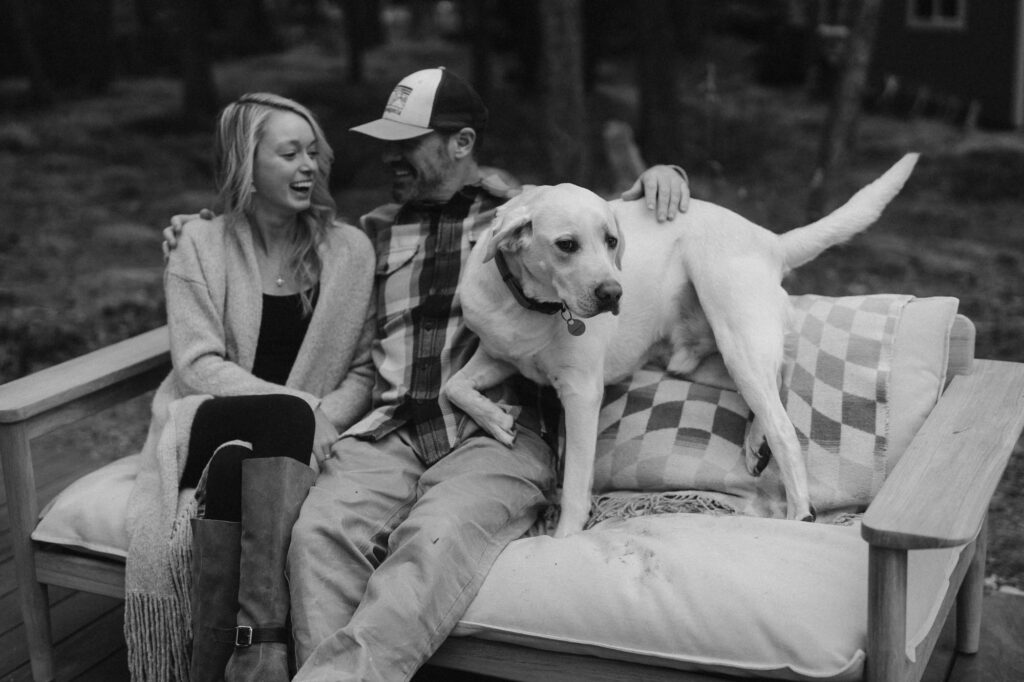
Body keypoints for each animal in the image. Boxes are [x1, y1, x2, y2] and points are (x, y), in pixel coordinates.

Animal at [446, 153, 921, 536]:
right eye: (566, 245)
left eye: (611, 241)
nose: (614, 294)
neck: (530, 306)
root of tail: (769, 238)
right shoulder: (497, 354)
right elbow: (453, 387)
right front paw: (496, 419)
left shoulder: (581, 393)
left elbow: (576, 486)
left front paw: (563, 540)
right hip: (703, 360)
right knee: (779, 378)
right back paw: (756, 441)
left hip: (735, 332)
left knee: (784, 424)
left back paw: (799, 513)